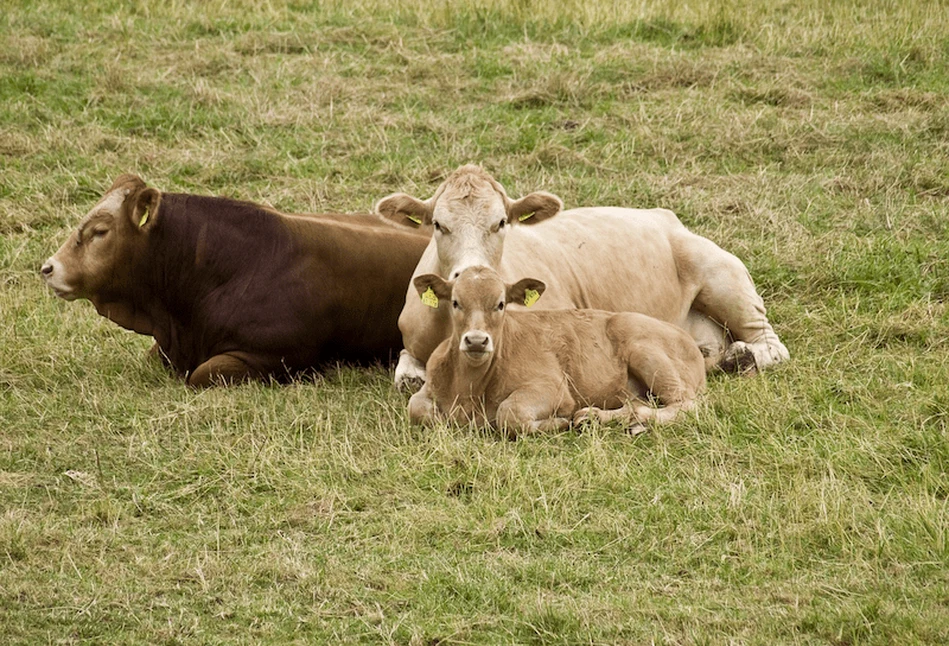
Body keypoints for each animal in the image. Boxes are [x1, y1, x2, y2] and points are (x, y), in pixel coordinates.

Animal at [374, 166, 788, 390]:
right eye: (438, 225)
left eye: (501, 222)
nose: (472, 273)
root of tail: (664, 216)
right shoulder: (411, 341)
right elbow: (408, 373)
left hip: (725, 278)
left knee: (771, 346)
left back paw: (741, 358)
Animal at [404, 266, 708, 438]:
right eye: (456, 302)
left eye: (500, 304)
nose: (477, 341)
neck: (469, 391)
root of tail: (687, 339)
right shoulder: (429, 387)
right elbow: (416, 409)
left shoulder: (553, 388)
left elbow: (509, 414)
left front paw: (559, 423)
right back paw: (599, 419)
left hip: (647, 351)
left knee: (687, 406)